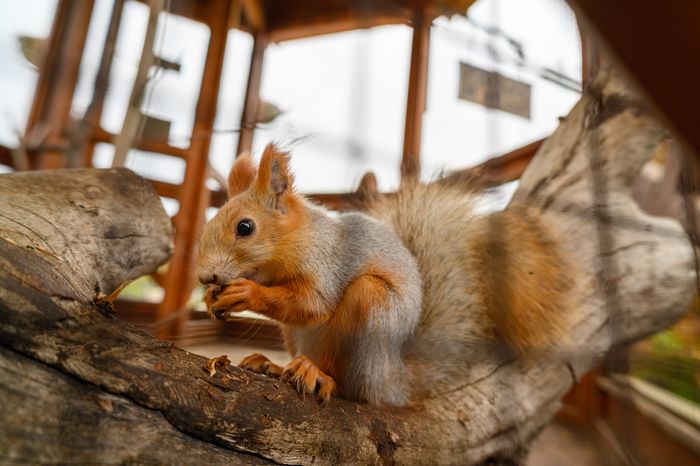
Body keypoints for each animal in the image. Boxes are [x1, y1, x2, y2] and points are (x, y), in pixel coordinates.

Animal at [196, 143, 577, 406]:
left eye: (245, 227)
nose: (204, 277)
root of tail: (391, 379)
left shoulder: (328, 263)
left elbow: (312, 305)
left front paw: (246, 293)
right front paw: (212, 299)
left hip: (371, 310)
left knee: (349, 386)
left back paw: (316, 374)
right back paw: (272, 365)